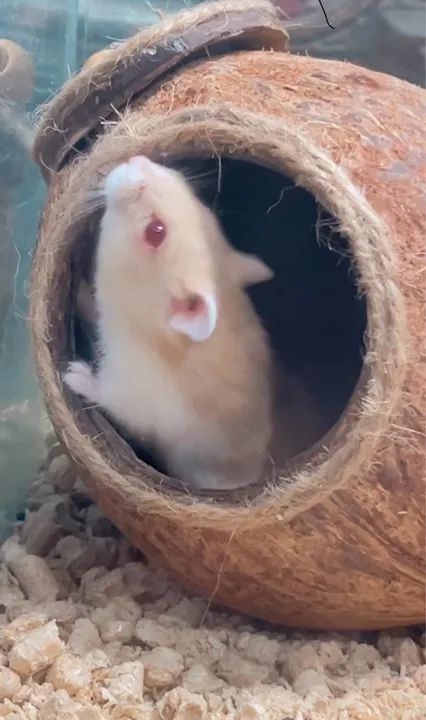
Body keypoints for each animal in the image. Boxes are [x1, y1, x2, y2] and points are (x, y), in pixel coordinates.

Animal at [64, 155, 274, 491]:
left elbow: (109, 397)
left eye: (156, 231)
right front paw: (82, 291)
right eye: (204, 206)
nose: (137, 159)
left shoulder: (133, 385)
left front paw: (74, 374)